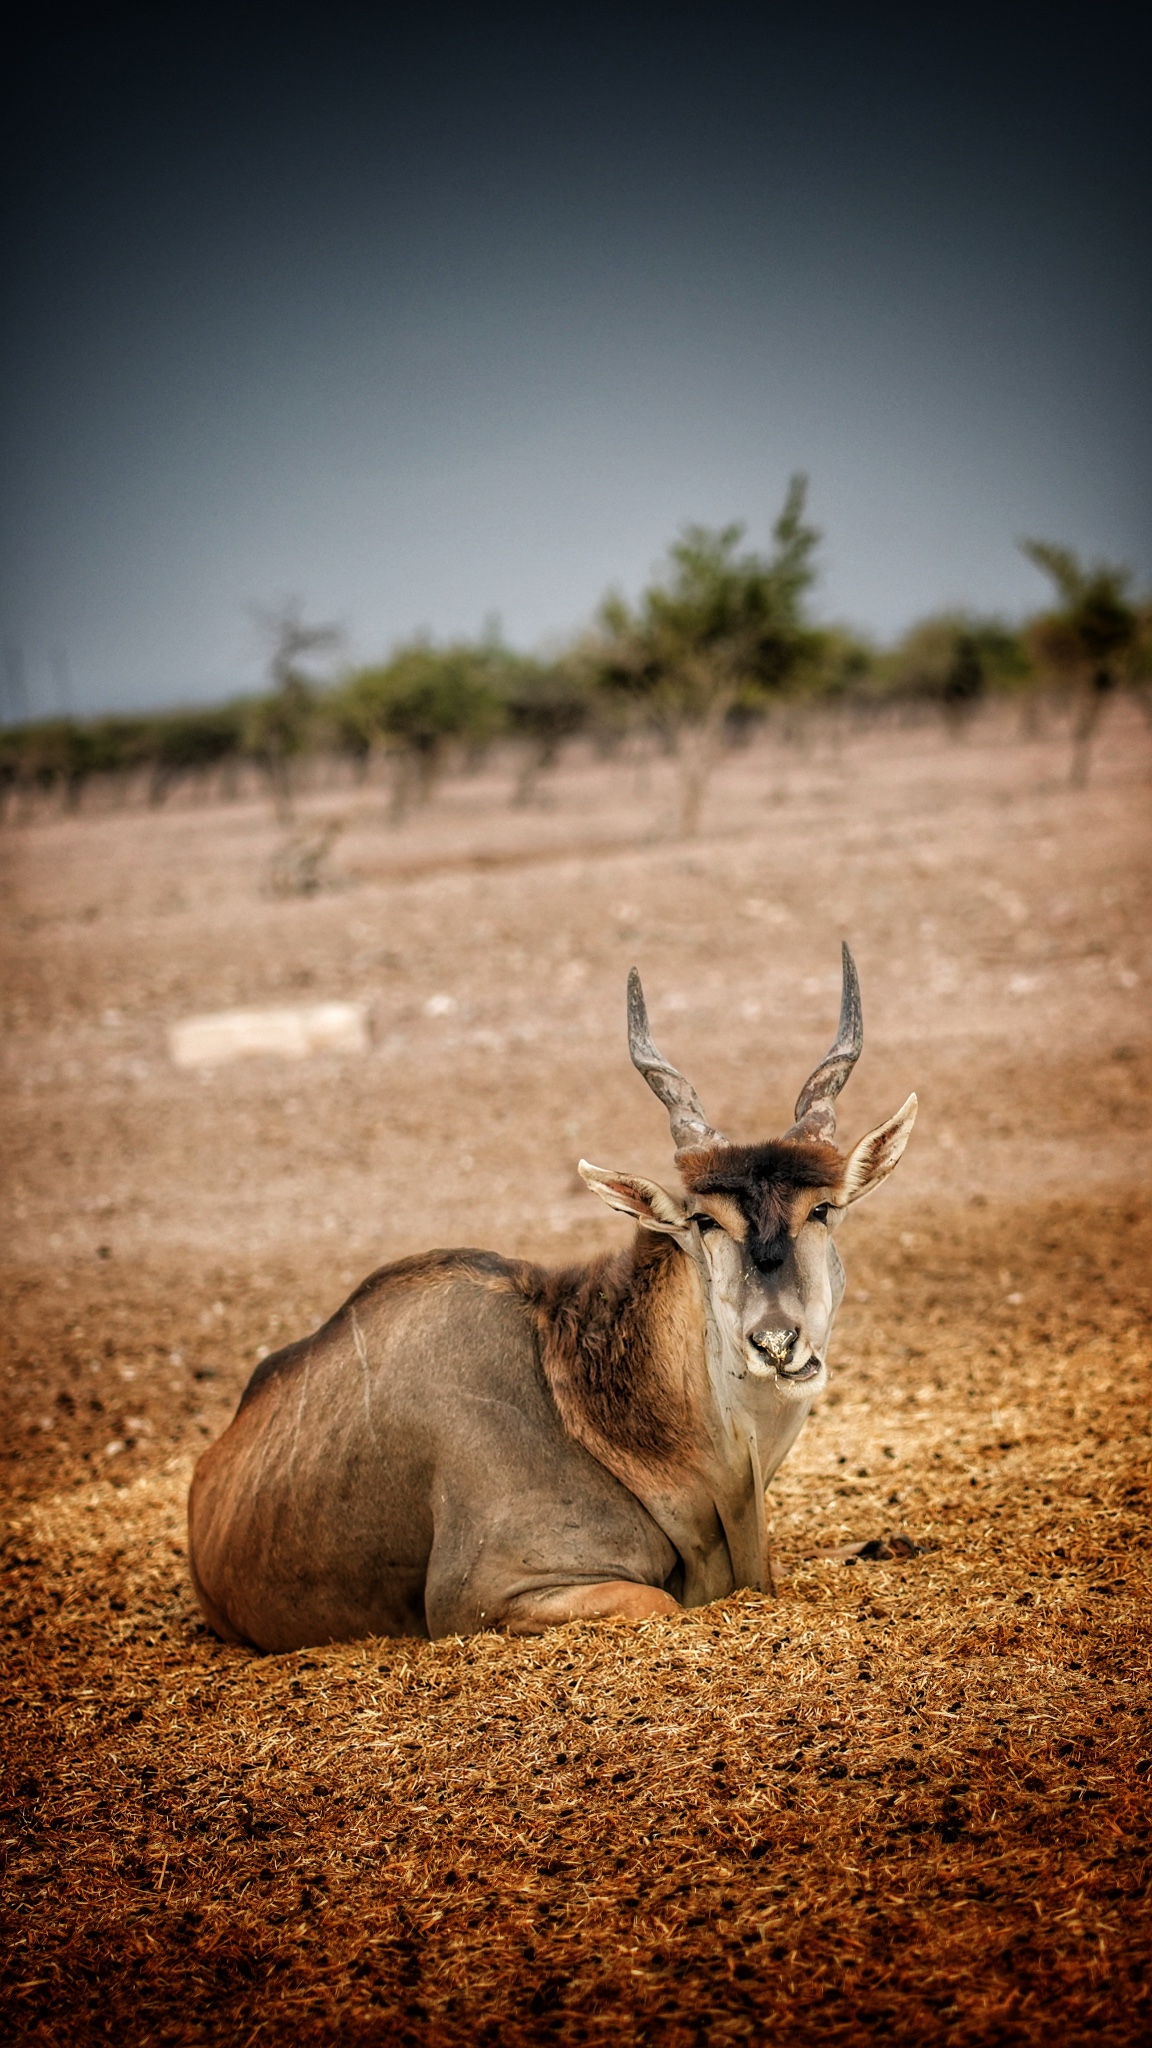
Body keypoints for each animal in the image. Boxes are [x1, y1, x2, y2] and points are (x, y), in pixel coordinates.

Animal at [188, 946, 910, 1646]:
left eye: (823, 1208)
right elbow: (657, 1601)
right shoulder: (486, 1597)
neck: (589, 1402)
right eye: (705, 1221)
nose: (778, 1342)